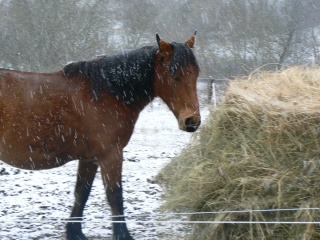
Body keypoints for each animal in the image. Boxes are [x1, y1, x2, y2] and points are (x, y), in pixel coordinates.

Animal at [0, 32, 200, 240]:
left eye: (195, 74)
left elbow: (82, 192)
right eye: (175, 76)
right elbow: (115, 195)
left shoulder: (90, 158)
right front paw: (123, 235)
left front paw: (75, 232)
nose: (192, 121)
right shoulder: (111, 154)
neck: (107, 94)